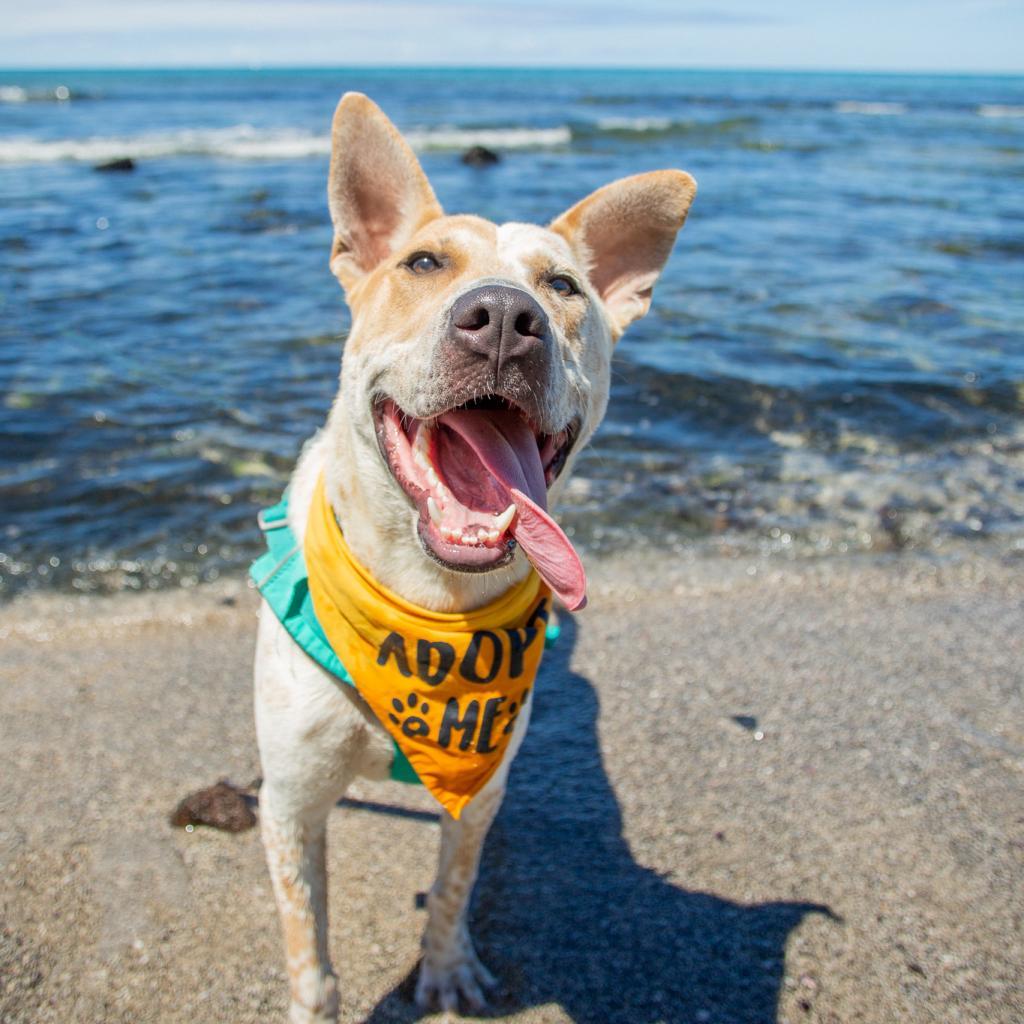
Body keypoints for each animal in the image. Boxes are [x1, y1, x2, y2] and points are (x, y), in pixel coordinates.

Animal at [252, 92, 696, 1019]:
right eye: (423, 262)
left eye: (562, 286)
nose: (502, 319)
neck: (429, 602)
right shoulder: (292, 804)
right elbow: (310, 949)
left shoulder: (478, 797)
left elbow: (453, 890)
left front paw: (447, 970)